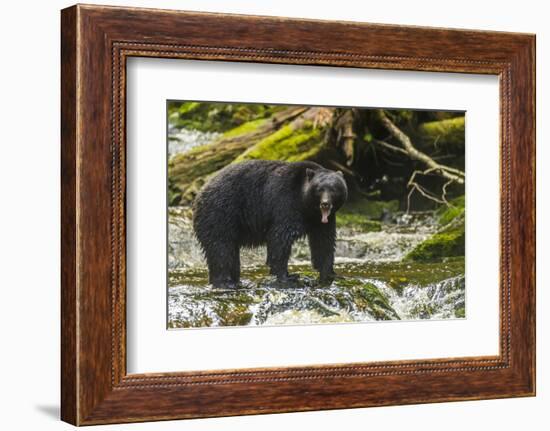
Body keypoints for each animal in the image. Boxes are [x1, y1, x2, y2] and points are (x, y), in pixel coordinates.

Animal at [194, 160, 350, 288]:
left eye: (334, 189)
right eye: (319, 189)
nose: (325, 203)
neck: (306, 206)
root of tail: (199, 194)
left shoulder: (322, 221)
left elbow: (324, 242)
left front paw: (331, 274)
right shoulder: (286, 202)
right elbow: (280, 238)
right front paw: (287, 276)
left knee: (230, 251)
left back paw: (235, 281)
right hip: (220, 214)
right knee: (220, 247)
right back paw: (225, 283)